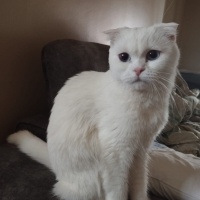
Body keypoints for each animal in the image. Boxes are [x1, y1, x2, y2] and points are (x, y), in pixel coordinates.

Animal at [7, 23, 180, 200]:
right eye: (124, 57)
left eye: (152, 55)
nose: (138, 70)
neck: (145, 102)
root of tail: (56, 171)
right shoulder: (117, 152)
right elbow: (119, 190)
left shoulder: (141, 151)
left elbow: (139, 185)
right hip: (91, 179)